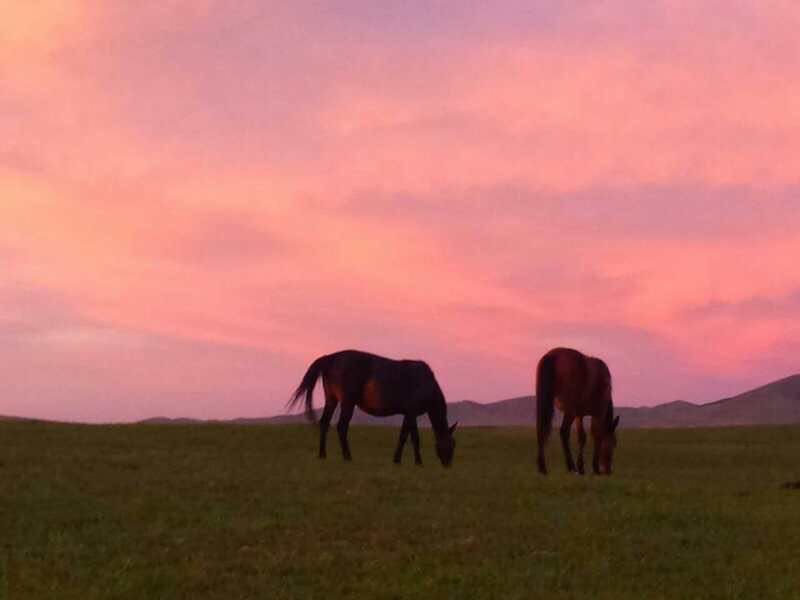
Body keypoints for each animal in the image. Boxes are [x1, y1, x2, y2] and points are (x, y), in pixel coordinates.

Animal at [290, 350, 460, 466]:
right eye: (451, 445)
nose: (448, 465)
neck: (426, 383)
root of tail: (330, 358)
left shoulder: (407, 414)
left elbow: (403, 436)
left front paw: (396, 459)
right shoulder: (412, 413)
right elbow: (414, 438)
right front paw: (418, 462)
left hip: (331, 400)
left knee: (324, 423)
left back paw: (322, 454)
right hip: (348, 402)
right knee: (341, 426)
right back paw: (347, 456)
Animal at [536, 346, 620, 474]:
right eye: (614, 443)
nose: (608, 470)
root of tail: (553, 355)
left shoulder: (579, 415)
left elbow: (582, 437)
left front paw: (582, 467)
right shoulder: (599, 413)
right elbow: (597, 435)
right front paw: (594, 467)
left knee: (542, 429)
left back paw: (543, 467)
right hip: (570, 411)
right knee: (564, 432)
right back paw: (570, 466)